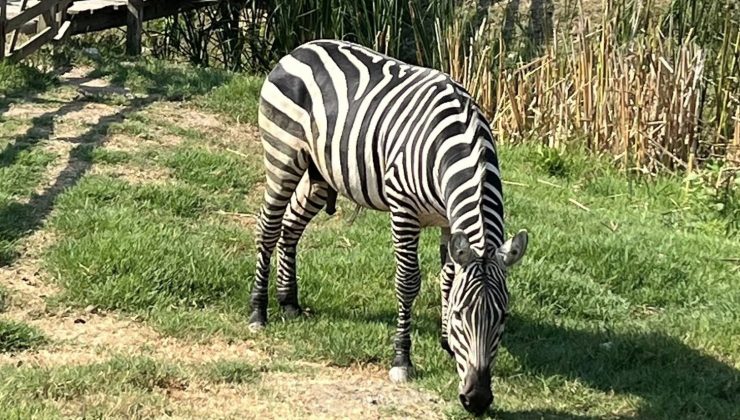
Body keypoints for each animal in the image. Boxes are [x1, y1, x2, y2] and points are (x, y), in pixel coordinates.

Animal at [249, 39, 529, 415]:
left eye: (503, 317)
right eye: (460, 315)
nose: (477, 401)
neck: (457, 143)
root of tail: (300, 48)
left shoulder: (448, 219)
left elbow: (448, 278)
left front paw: (446, 343)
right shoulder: (403, 209)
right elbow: (409, 282)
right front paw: (402, 360)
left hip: (321, 172)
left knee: (291, 226)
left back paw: (289, 302)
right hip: (282, 156)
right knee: (269, 226)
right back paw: (258, 311)